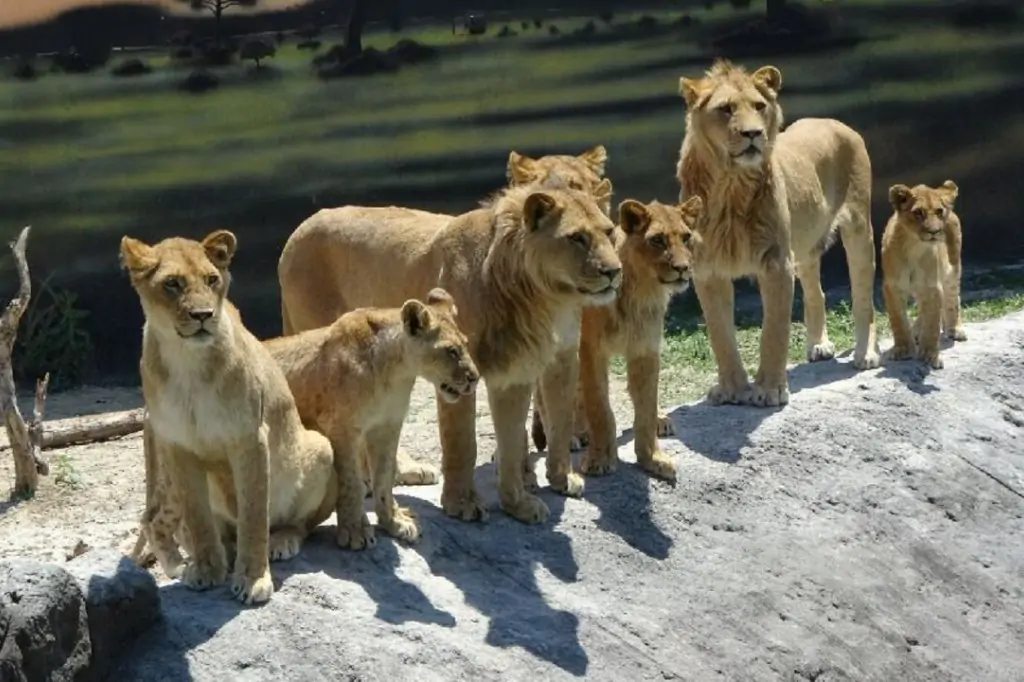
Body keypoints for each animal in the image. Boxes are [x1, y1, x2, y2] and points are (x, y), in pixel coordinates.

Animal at [119, 231, 335, 602]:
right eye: (172, 283)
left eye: (211, 280)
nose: (204, 314)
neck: (187, 361)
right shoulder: (178, 446)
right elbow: (198, 517)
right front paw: (206, 570)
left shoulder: (249, 439)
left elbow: (253, 514)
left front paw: (252, 580)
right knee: (169, 521)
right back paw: (200, 559)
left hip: (320, 447)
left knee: (299, 524)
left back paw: (281, 541)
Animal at [260, 286, 475, 540]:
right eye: (451, 351)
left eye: (466, 344)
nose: (475, 377)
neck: (397, 372)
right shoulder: (342, 429)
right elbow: (350, 481)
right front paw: (355, 530)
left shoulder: (387, 426)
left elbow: (384, 478)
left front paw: (394, 521)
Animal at [528, 192, 704, 477]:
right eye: (657, 240)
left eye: (686, 237)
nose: (682, 267)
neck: (642, 291)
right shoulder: (590, 350)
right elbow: (600, 407)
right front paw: (600, 459)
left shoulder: (646, 348)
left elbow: (646, 405)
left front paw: (653, 458)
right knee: (548, 398)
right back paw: (573, 436)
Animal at [671, 58, 880, 405]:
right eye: (725, 109)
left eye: (759, 106)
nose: (753, 133)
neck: (731, 186)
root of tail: (833, 121)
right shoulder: (708, 270)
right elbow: (720, 335)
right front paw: (731, 389)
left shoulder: (776, 262)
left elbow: (774, 330)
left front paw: (769, 390)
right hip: (806, 244)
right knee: (817, 291)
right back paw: (818, 345)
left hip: (859, 227)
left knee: (863, 294)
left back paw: (867, 353)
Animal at [880, 176, 966, 366]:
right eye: (918, 212)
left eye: (939, 211)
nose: (934, 232)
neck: (914, 246)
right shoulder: (892, 287)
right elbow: (898, 321)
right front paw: (903, 349)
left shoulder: (932, 287)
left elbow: (932, 324)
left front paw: (930, 355)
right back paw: (916, 332)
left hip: (953, 269)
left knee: (952, 298)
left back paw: (955, 329)